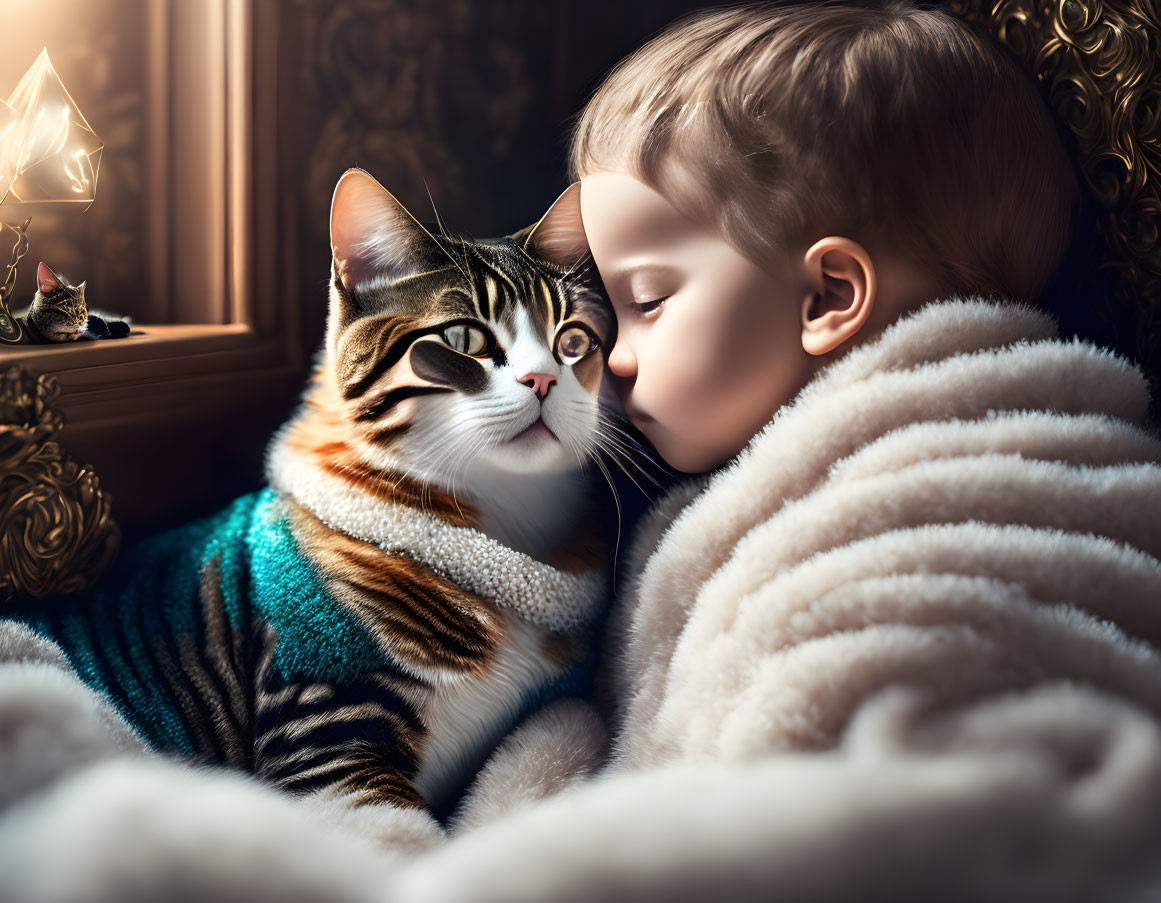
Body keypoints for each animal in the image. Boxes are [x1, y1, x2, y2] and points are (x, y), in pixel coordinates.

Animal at [0, 167, 617, 821]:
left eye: (573, 341)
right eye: (463, 336)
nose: (544, 379)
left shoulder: (552, 707)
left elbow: (544, 745)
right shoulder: (318, 713)